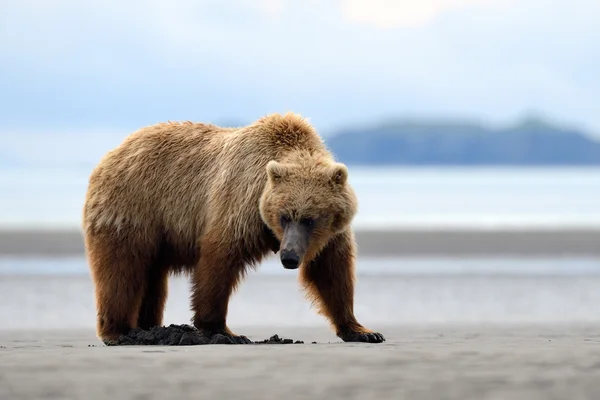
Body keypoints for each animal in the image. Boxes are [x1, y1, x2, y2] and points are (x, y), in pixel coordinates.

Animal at [82, 111, 384, 344]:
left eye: (310, 218)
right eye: (284, 216)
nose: (289, 257)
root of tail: (113, 152)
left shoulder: (329, 235)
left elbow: (332, 271)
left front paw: (363, 330)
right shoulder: (240, 203)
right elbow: (219, 259)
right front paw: (223, 330)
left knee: (151, 276)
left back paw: (147, 327)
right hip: (133, 208)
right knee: (122, 269)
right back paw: (119, 331)